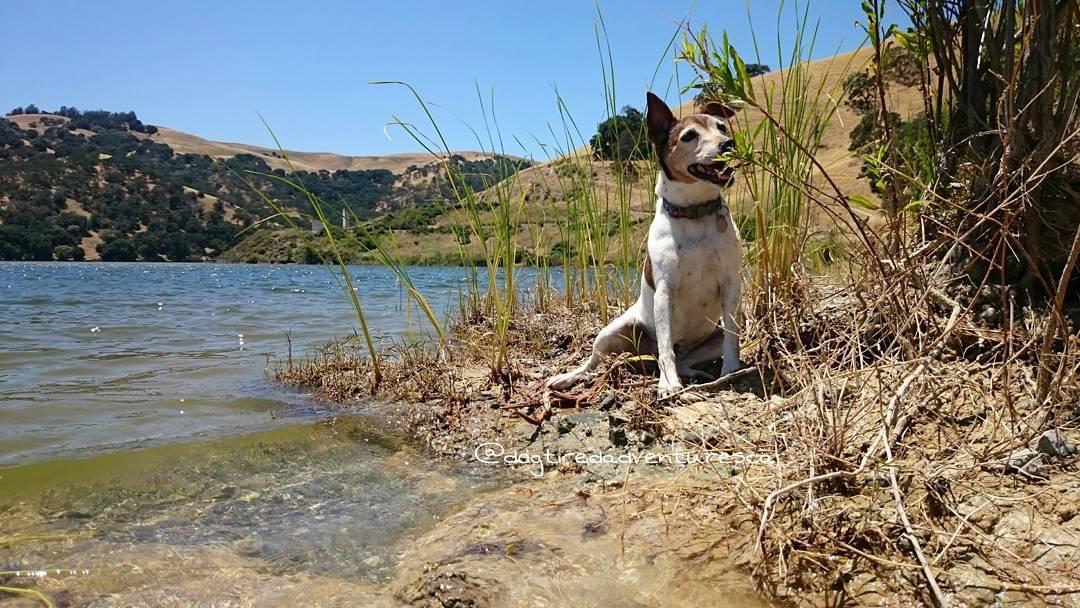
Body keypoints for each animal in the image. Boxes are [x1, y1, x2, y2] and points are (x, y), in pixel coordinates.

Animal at [548, 91, 743, 399]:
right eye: (689, 136)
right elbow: (665, 345)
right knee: (596, 361)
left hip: (713, 334)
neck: (694, 213)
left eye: (721, 127)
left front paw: (731, 369)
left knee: (685, 356)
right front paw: (668, 383)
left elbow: (733, 337)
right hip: (610, 333)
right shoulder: (665, 291)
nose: (728, 144)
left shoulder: (730, 284)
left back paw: (693, 372)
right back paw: (568, 377)